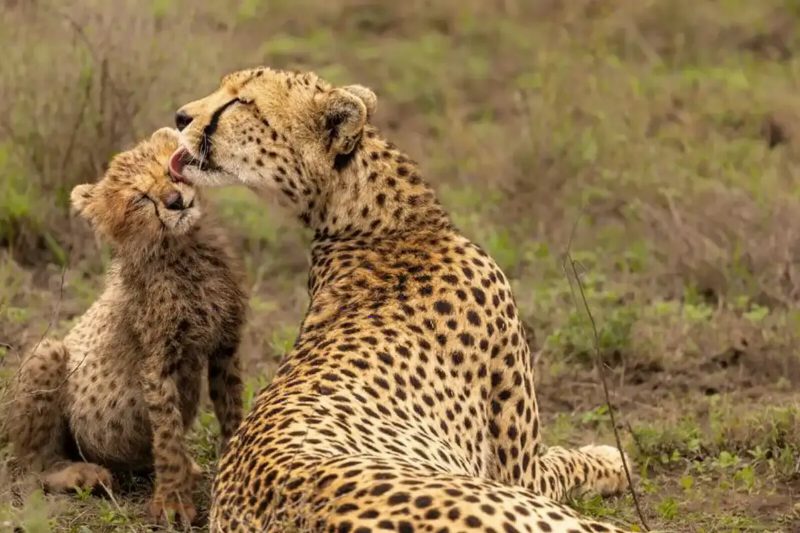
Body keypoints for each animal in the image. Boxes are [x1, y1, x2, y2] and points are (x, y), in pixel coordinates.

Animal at [4, 127, 247, 525]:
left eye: (169, 171)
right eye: (139, 198)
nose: (175, 201)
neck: (185, 247)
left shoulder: (225, 347)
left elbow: (233, 413)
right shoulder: (158, 362)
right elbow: (167, 436)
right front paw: (173, 501)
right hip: (50, 353)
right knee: (33, 464)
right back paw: (77, 474)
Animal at [170, 67, 635, 533]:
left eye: (241, 101)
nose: (179, 116)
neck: (388, 224)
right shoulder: (520, 471)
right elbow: (564, 462)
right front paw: (610, 458)